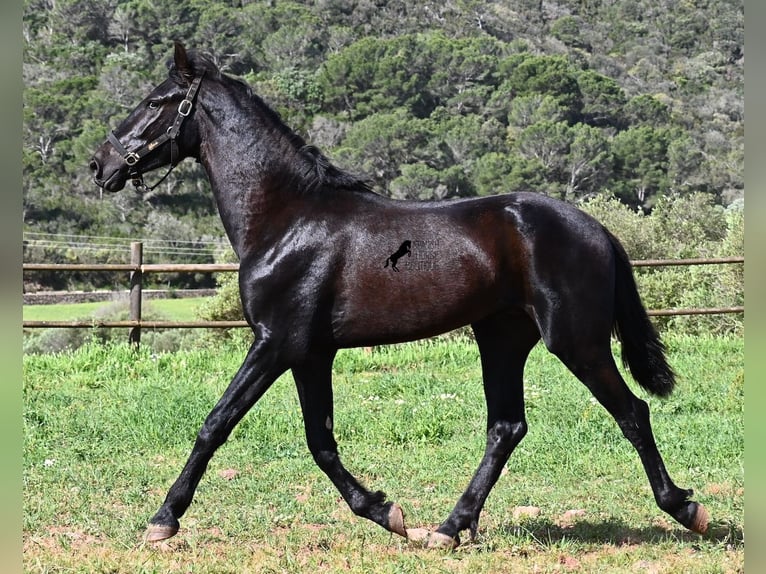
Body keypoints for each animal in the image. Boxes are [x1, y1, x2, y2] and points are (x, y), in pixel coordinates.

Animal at [89, 42, 708, 548]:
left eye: (156, 101)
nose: (101, 165)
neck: (287, 219)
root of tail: (596, 229)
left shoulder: (275, 343)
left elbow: (215, 424)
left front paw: (163, 520)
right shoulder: (310, 353)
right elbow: (320, 440)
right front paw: (386, 512)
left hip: (576, 342)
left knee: (631, 412)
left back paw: (687, 509)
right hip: (502, 338)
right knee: (506, 428)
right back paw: (449, 528)